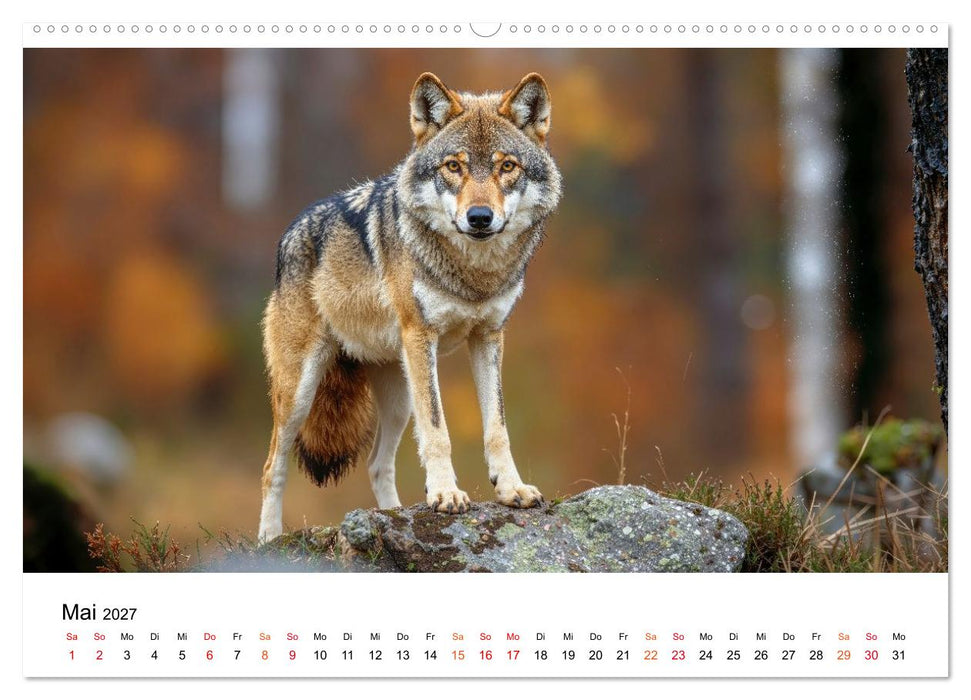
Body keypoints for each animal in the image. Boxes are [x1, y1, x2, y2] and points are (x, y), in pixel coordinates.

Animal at [258, 72, 562, 542]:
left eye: (506, 167)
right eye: (453, 167)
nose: (479, 217)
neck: (472, 275)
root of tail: (288, 234)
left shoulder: (489, 337)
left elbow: (497, 428)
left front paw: (511, 489)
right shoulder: (423, 337)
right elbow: (438, 431)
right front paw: (446, 495)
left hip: (400, 396)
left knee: (376, 464)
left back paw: (394, 516)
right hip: (301, 392)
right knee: (273, 466)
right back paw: (269, 539)